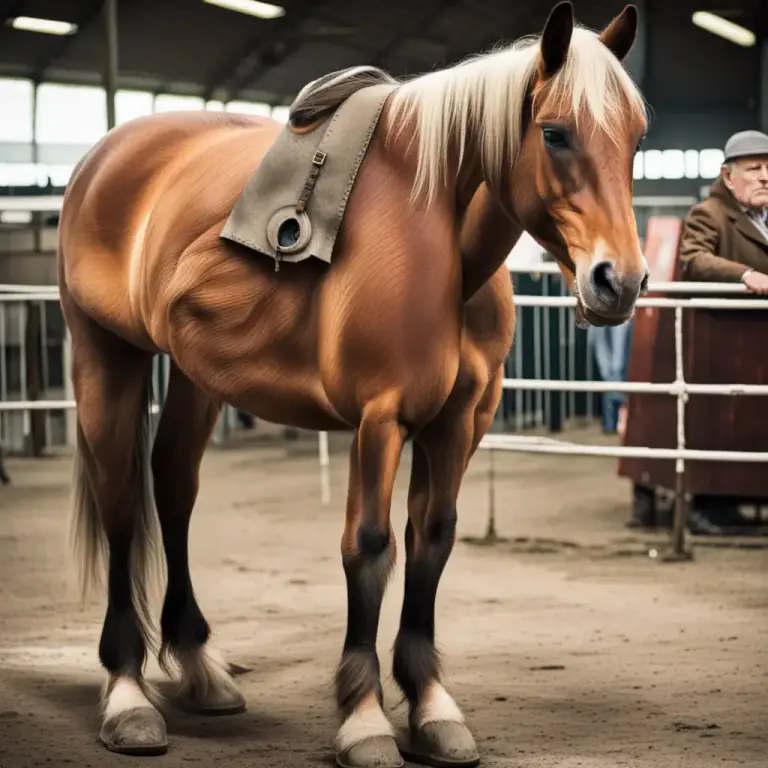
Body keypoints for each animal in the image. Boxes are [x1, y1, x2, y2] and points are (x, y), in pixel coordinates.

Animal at [58, 2, 648, 766]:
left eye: (636, 140)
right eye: (554, 133)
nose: (620, 282)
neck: (440, 232)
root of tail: (104, 156)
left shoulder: (458, 424)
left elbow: (432, 541)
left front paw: (431, 707)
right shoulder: (380, 420)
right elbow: (368, 549)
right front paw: (365, 717)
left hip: (195, 376)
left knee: (175, 484)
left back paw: (196, 663)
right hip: (107, 355)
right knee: (122, 501)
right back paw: (127, 692)